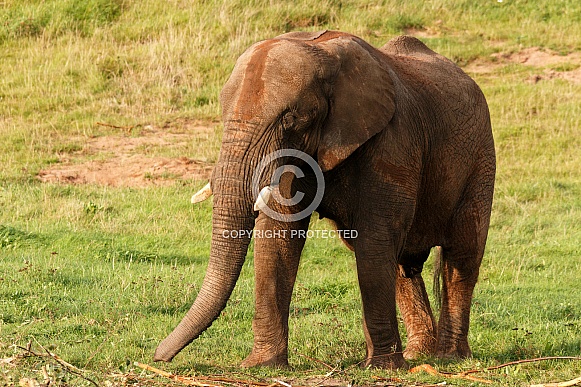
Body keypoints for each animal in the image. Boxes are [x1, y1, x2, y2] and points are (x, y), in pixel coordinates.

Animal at [153, 30, 494, 370]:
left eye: (291, 118)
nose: (158, 357)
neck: (323, 53)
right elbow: (279, 237)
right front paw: (262, 366)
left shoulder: (393, 143)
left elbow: (375, 238)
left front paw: (379, 367)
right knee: (401, 265)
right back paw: (417, 355)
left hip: (481, 159)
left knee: (461, 256)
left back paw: (449, 357)